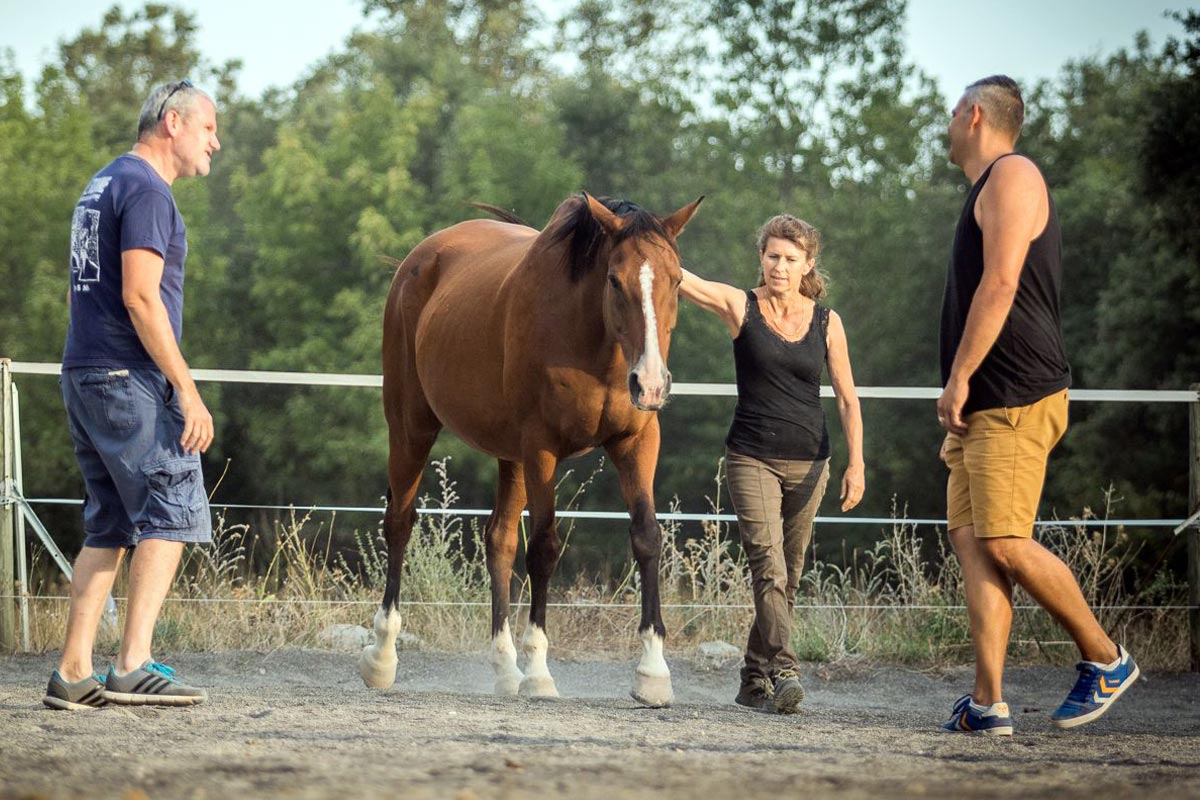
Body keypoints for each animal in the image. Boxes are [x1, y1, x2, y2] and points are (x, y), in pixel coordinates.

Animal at [360, 191, 700, 705]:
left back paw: (505, 669)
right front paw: (539, 670)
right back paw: (382, 657)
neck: (593, 345)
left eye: (676, 280)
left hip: (510, 455)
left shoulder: (636, 443)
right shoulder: (542, 448)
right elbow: (543, 546)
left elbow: (646, 537)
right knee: (399, 523)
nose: (651, 382)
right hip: (411, 427)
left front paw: (652, 672)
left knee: (498, 540)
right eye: (614, 279)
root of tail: (417, 260)